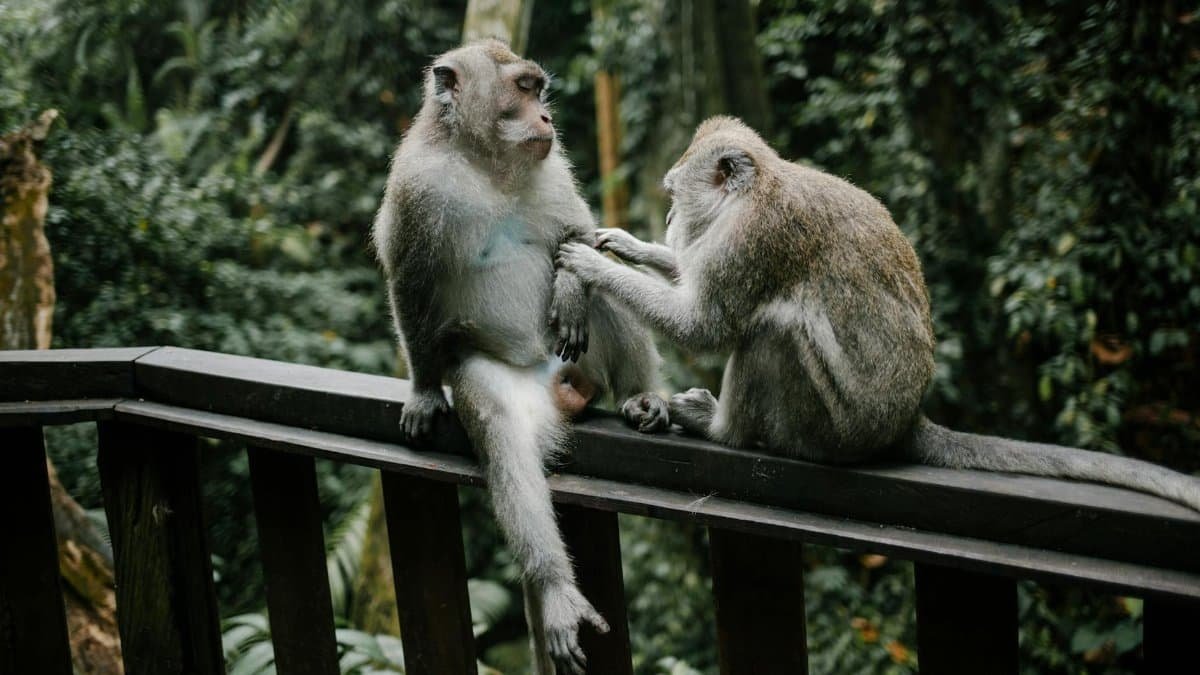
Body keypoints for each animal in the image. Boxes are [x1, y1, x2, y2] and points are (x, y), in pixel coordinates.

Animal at [372, 40, 668, 674]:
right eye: (523, 89)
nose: (548, 117)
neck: (487, 166)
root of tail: (559, 386)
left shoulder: (551, 167)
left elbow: (578, 236)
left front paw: (569, 289)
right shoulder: (415, 186)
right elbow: (409, 282)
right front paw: (423, 390)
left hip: (582, 361)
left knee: (607, 285)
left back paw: (641, 396)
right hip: (497, 378)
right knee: (504, 437)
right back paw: (554, 584)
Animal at [556, 115, 1200, 513]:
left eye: (673, 196)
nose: (667, 219)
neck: (755, 190)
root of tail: (906, 419)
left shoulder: (753, 239)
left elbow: (707, 326)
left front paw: (591, 264)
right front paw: (627, 245)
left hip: (832, 427)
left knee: (772, 329)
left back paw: (722, 430)